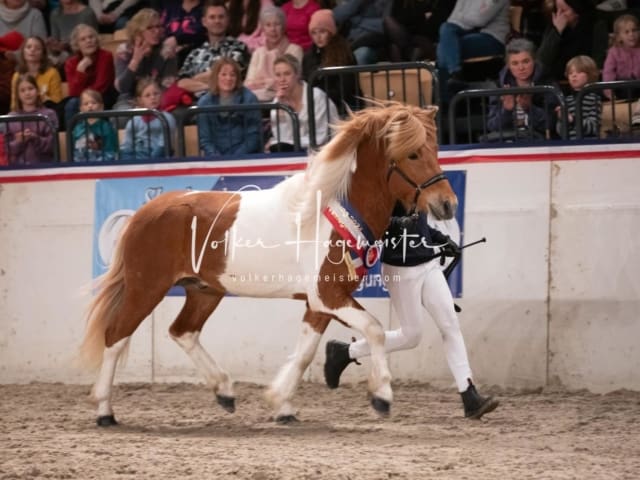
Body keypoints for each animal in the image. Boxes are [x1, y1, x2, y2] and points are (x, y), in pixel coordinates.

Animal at [77, 103, 458, 426]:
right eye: (412, 153)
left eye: (434, 149)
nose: (447, 204)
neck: (330, 213)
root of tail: (145, 212)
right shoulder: (328, 296)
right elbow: (375, 329)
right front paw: (381, 396)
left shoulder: (320, 302)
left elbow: (305, 352)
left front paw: (281, 404)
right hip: (147, 287)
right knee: (116, 336)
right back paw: (104, 411)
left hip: (204, 290)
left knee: (182, 331)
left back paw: (225, 392)